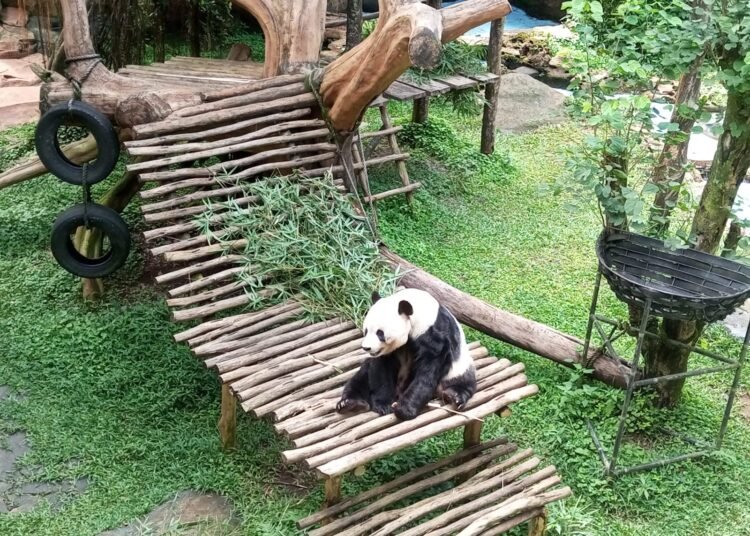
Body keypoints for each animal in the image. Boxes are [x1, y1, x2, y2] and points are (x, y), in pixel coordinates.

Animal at [336, 287, 477, 421]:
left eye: (380, 333)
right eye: (366, 331)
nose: (366, 347)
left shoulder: (434, 337)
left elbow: (427, 373)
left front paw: (403, 410)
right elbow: (382, 370)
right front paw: (383, 405)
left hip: (458, 367)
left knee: (464, 381)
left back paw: (454, 395)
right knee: (361, 376)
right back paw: (350, 403)